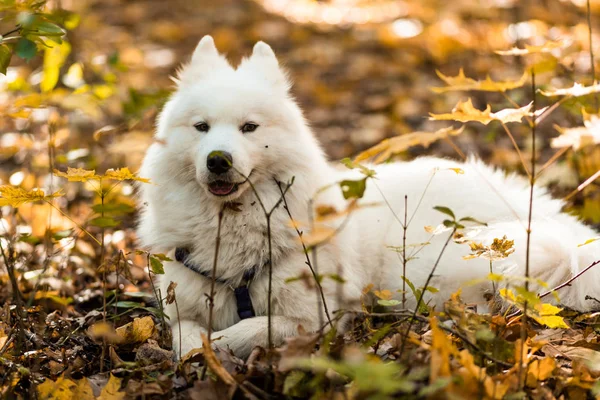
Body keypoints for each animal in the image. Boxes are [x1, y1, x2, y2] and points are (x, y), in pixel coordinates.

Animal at [138, 36, 600, 358]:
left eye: (249, 128)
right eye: (201, 127)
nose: (218, 160)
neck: (234, 229)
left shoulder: (319, 314)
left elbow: (253, 328)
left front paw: (221, 343)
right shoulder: (180, 306)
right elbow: (184, 335)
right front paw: (198, 348)